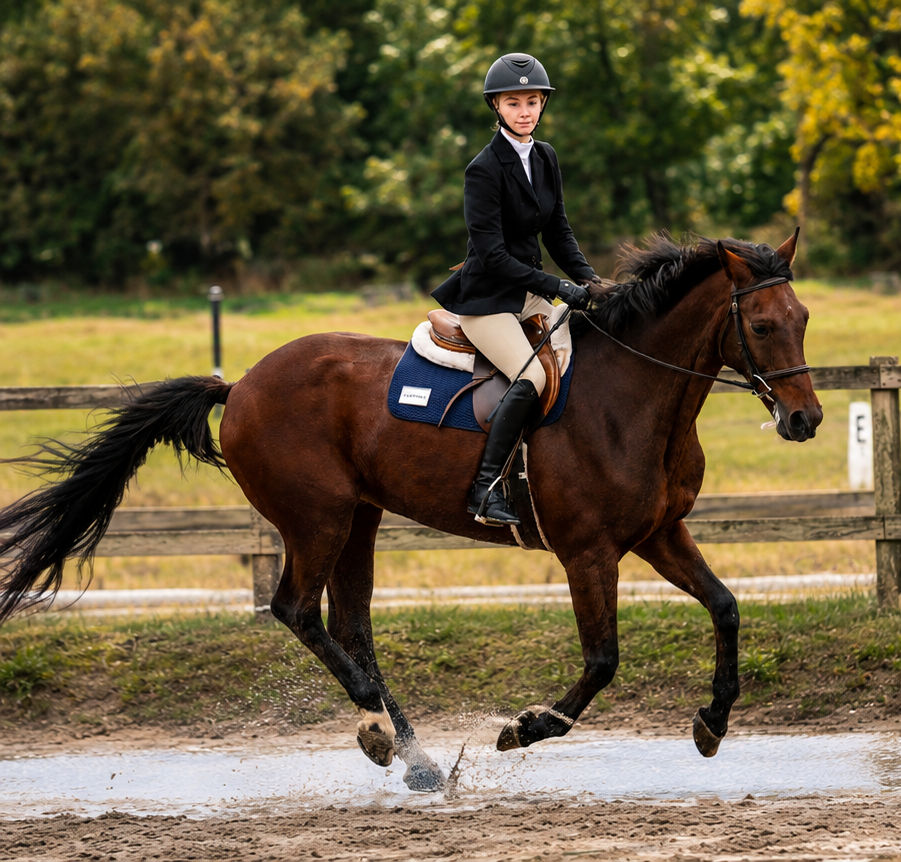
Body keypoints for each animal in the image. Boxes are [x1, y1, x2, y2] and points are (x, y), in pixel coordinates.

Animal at [0, 231, 822, 792]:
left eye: (805, 317)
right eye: (762, 325)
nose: (805, 420)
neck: (636, 399)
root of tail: (242, 384)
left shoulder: (658, 533)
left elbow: (725, 606)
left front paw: (713, 723)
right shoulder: (587, 552)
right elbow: (602, 661)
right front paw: (523, 729)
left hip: (359, 519)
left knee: (350, 626)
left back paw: (415, 756)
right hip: (318, 518)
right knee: (296, 610)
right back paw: (377, 724)